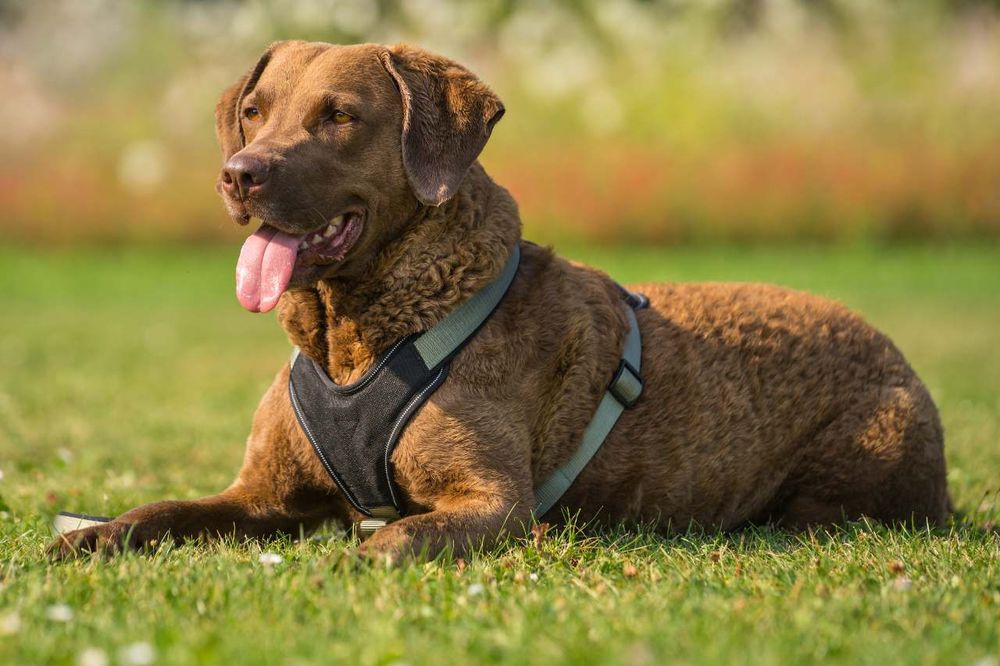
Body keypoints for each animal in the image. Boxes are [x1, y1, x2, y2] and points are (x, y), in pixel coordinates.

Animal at [48, 40, 952, 560]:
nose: (239, 173)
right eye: (253, 110)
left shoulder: (490, 500)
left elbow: (396, 539)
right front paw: (90, 535)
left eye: (338, 116)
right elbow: (160, 511)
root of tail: (892, 348)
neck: (352, 340)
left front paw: (355, 555)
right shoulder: (260, 496)